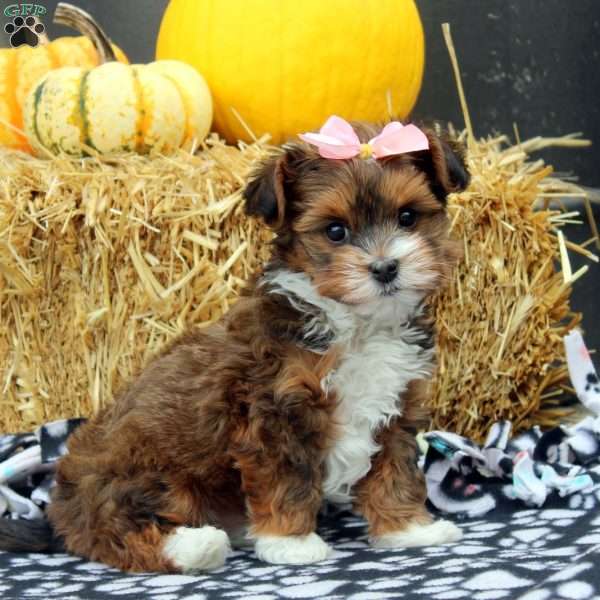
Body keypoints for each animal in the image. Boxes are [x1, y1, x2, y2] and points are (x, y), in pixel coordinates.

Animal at [0, 118, 468, 572]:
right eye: (336, 231)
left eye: (407, 217)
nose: (386, 268)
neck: (356, 323)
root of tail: (62, 508)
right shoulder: (273, 411)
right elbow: (286, 480)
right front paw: (291, 543)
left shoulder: (397, 407)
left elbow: (395, 472)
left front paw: (408, 530)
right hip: (143, 472)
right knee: (115, 528)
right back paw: (194, 545)